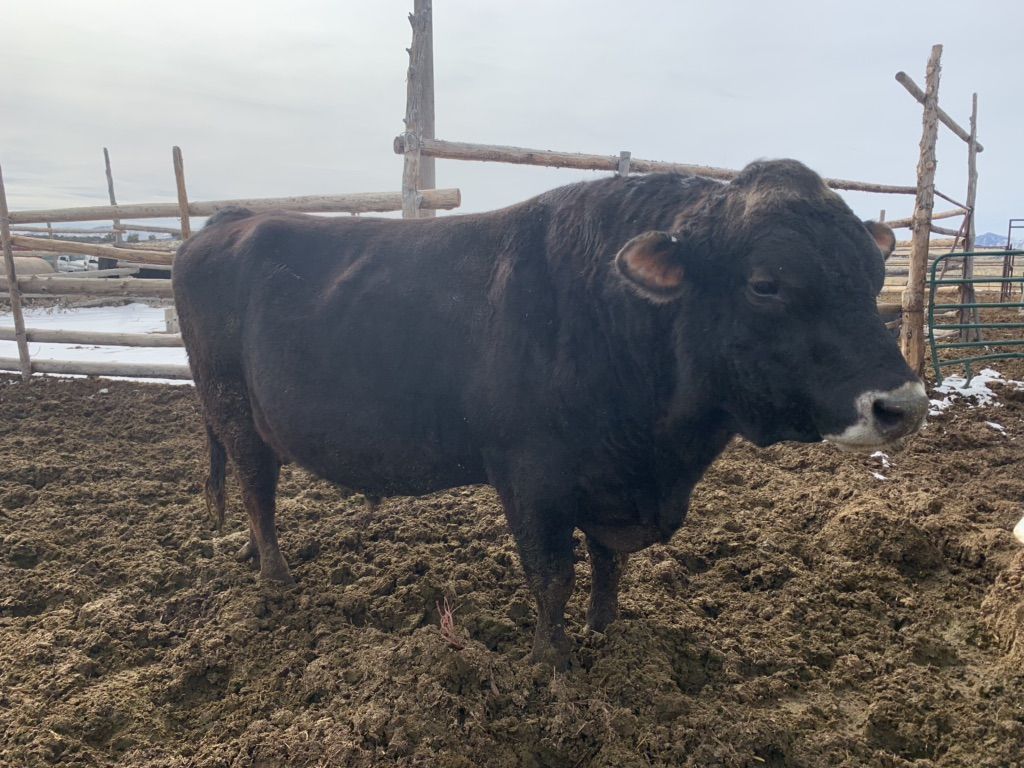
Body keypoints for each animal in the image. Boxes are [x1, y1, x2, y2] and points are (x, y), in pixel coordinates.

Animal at [173, 159, 928, 668]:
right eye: (766, 283)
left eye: (872, 275)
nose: (905, 404)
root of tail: (231, 220)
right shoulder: (532, 475)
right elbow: (551, 574)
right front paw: (551, 665)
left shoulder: (610, 477)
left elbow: (607, 564)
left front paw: (606, 632)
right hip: (232, 406)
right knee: (257, 488)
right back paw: (276, 580)